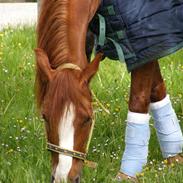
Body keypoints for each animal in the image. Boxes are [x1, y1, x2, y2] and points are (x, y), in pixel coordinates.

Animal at [35, 0, 182, 183]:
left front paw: (127, 175)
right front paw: (175, 157)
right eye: (45, 117)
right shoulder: (141, 46)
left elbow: (139, 100)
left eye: (88, 119)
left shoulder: (144, 39)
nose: (64, 177)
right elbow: (157, 90)